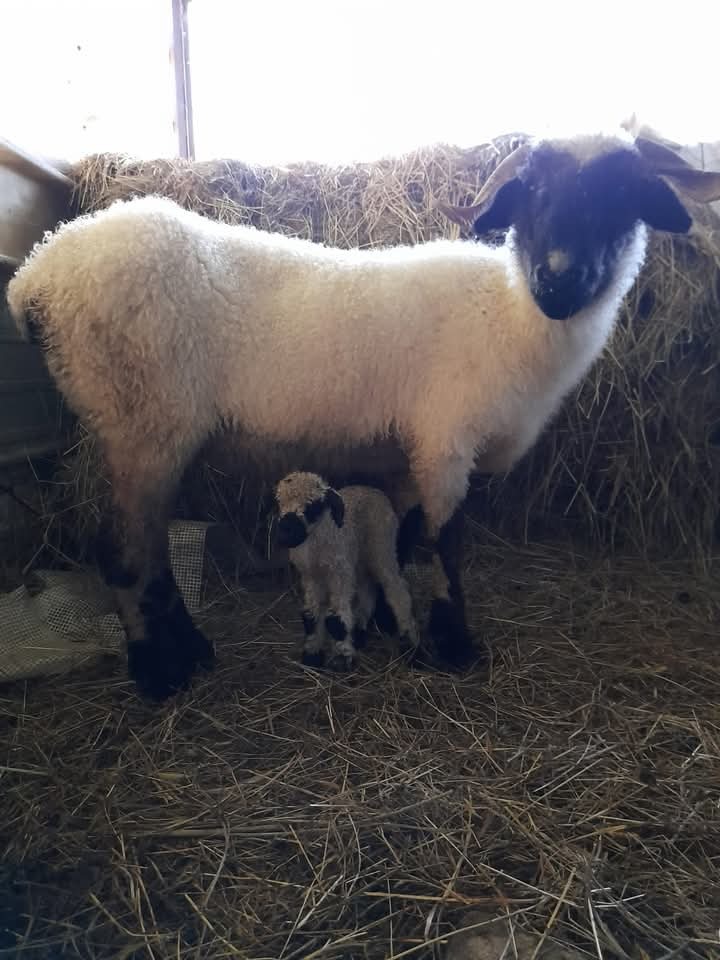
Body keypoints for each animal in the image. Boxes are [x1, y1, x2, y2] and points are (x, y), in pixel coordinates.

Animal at [274, 471, 418, 669]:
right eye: (279, 502)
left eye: (312, 506)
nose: (284, 532)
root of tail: (371, 488)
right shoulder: (311, 576)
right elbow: (311, 616)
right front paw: (312, 655)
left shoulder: (339, 573)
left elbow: (336, 621)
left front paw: (342, 659)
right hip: (358, 561)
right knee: (367, 591)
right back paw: (359, 633)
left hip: (382, 548)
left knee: (397, 590)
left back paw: (410, 643)